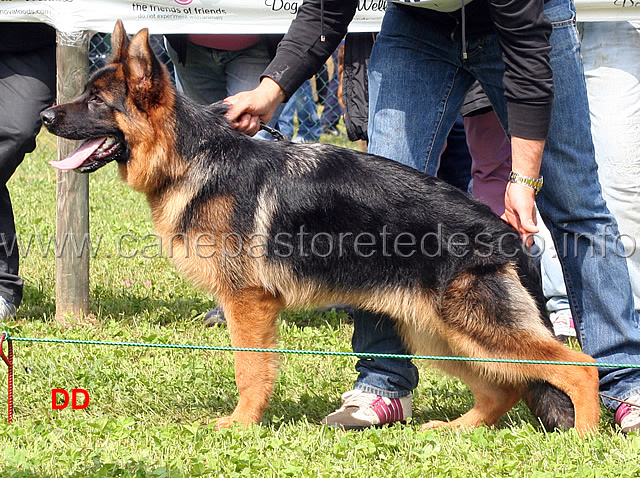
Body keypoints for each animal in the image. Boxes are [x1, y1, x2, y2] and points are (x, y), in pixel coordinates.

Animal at [40, 21, 600, 434]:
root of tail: (505, 232)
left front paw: (242, 425)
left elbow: (250, 370)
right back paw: (458, 429)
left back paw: (585, 438)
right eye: (83, 94)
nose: (46, 114)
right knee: (505, 386)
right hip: (440, 332)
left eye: (96, 101)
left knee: (580, 367)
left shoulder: (248, 303)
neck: (193, 157)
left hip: (474, 327)